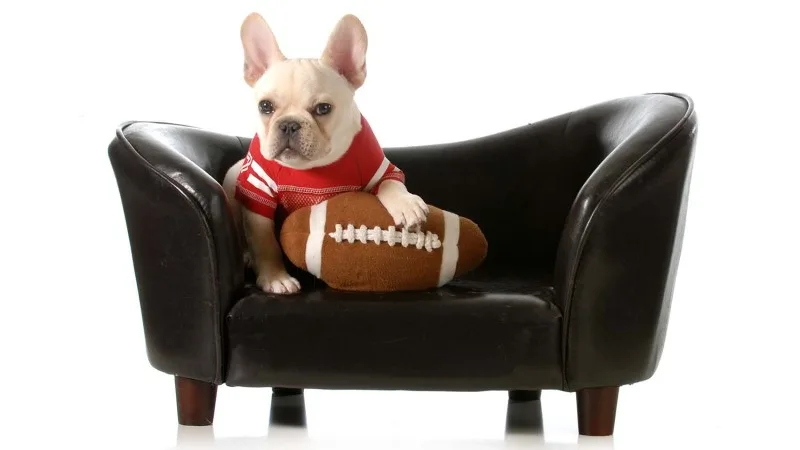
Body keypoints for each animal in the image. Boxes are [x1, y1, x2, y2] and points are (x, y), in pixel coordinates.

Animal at [219, 12, 432, 296]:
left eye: (323, 109)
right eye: (265, 106)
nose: (289, 124)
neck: (312, 168)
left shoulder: (379, 168)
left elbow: (391, 184)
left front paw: (407, 204)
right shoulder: (258, 192)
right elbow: (265, 242)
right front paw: (275, 279)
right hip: (233, 177)